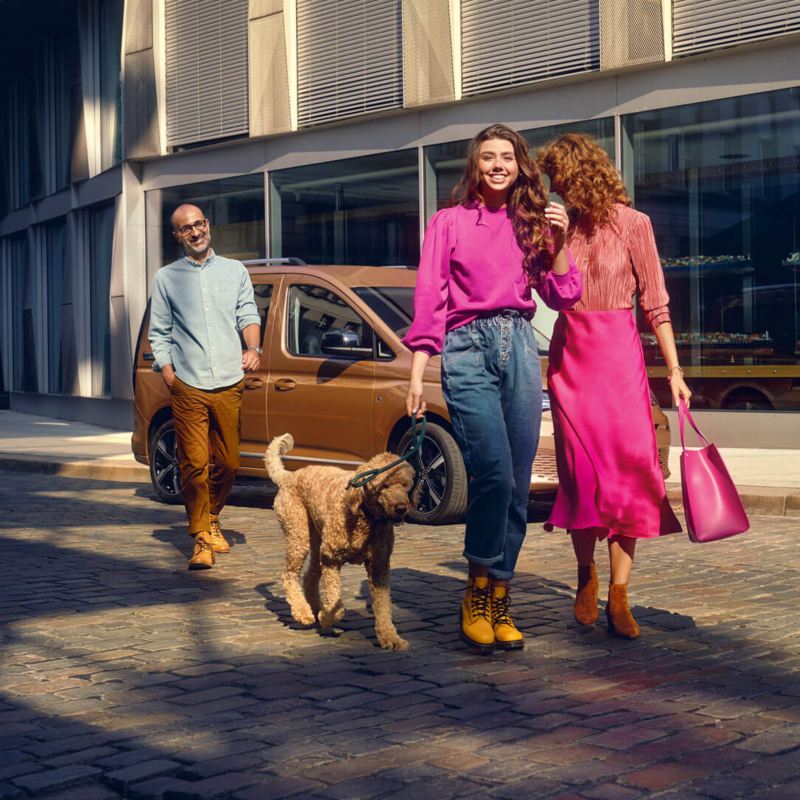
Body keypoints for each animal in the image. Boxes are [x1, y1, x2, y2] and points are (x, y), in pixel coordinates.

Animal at [266, 434, 416, 652]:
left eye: (405, 485)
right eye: (384, 486)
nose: (401, 508)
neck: (365, 518)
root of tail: (289, 476)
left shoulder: (379, 567)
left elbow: (383, 607)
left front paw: (390, 638)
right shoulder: (331, 559)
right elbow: (337, 605)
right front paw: (327, 617)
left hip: (317, 541)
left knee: (309, 576)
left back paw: (315, 607)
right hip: (299, 534)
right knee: (289, 575)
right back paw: (303, 612)